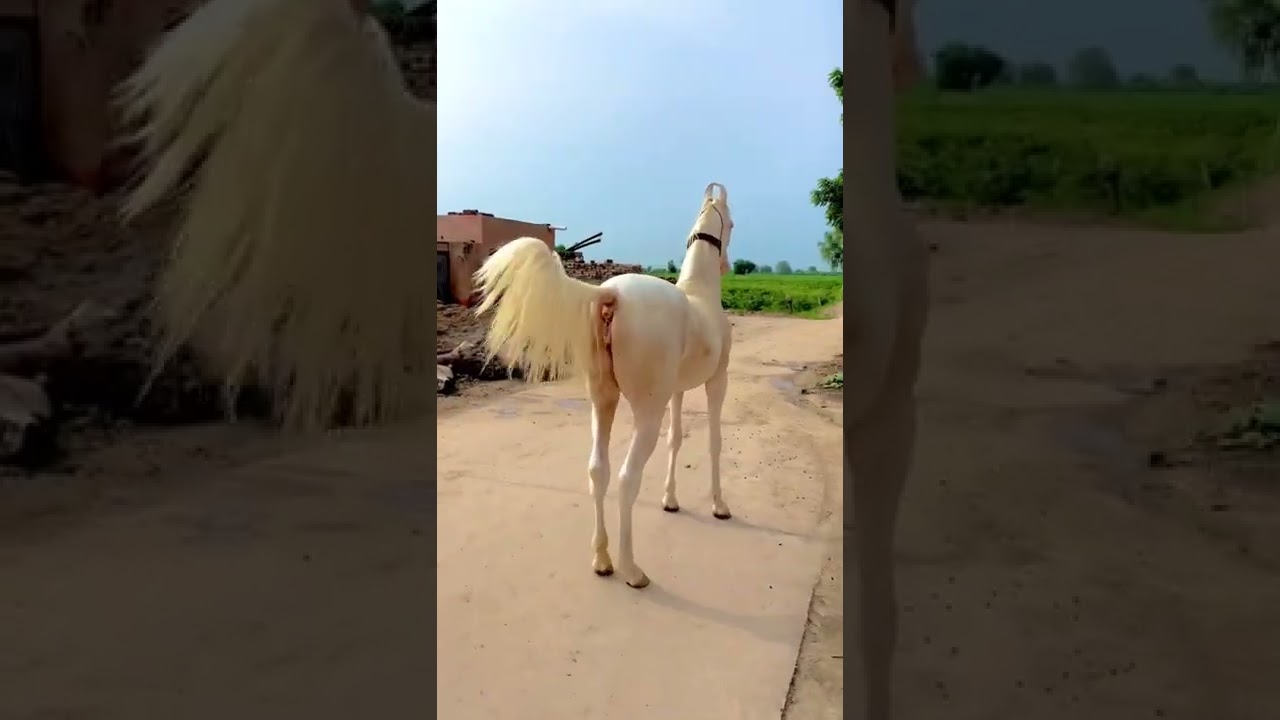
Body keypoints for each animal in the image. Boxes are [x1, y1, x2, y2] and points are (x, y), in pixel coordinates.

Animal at [473, 185, 735, 589]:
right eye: (732, 223)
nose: (727, 265)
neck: (700, 294)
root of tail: (611, 296)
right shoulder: (716, 381)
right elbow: (713, 442)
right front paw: (719, 506)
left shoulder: (677, 390)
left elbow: (676, 440)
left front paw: (671, 500)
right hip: (646, 412)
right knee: (626, 478)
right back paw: (632, 570)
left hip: (604, 401)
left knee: (598, 471)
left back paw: (602, 560)